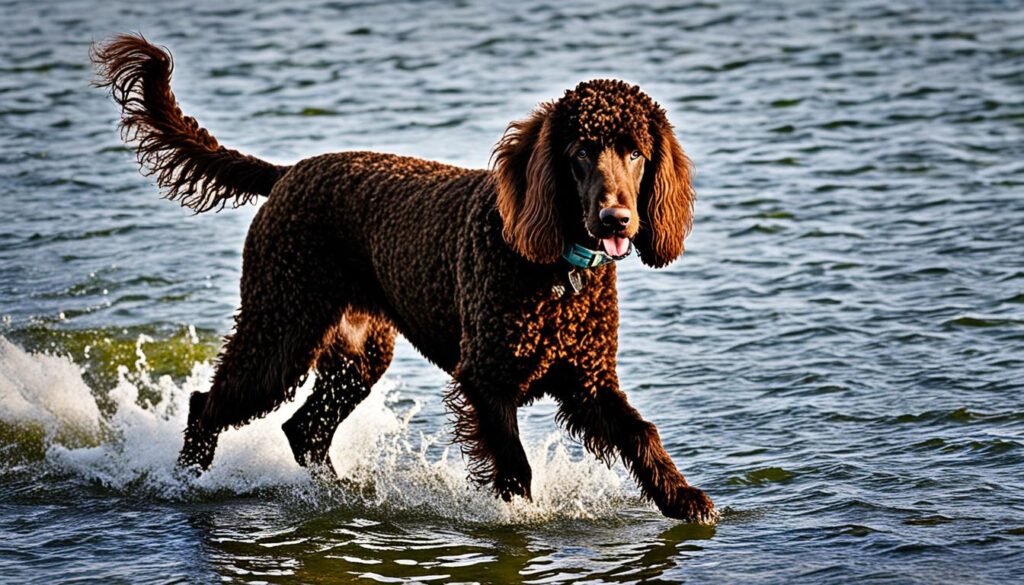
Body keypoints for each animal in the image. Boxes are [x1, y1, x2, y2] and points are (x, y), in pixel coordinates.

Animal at [92, 34, 716, 524]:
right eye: (582, 152)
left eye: (636, 153)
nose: (617, 219)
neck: (556, 275)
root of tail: (288, 173)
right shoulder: (485, 380)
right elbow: (515, 466)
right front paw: (517, 518)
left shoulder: (588, 381)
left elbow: (641, 434)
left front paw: (683, 498)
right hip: (280, 329)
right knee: (209, 404)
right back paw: (188, 482)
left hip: (357, 355)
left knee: (305, 431)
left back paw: (346, 497)